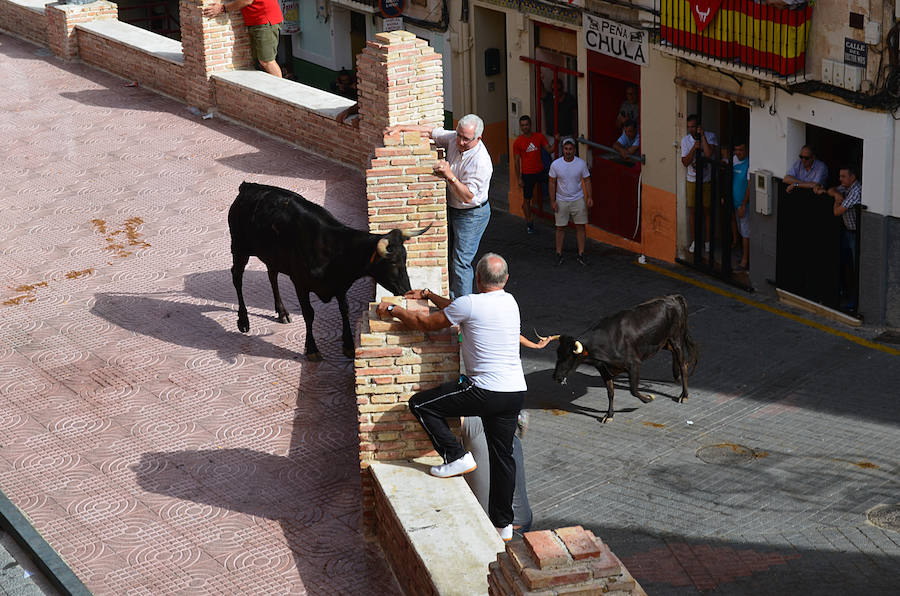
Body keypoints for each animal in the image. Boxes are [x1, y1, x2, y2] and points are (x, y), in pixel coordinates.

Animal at [540, 294, 696, 424]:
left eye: (570, 356)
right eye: (558, 353)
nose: (556, 376)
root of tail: (673, 297)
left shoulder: (634, 365)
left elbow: (633, 390)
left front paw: (648, 398)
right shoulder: (605, 371)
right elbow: (611, 393)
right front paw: (609, 415)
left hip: (676, 339)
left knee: (683, 364)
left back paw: (684, 394)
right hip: (665, 342)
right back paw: (676, 376)